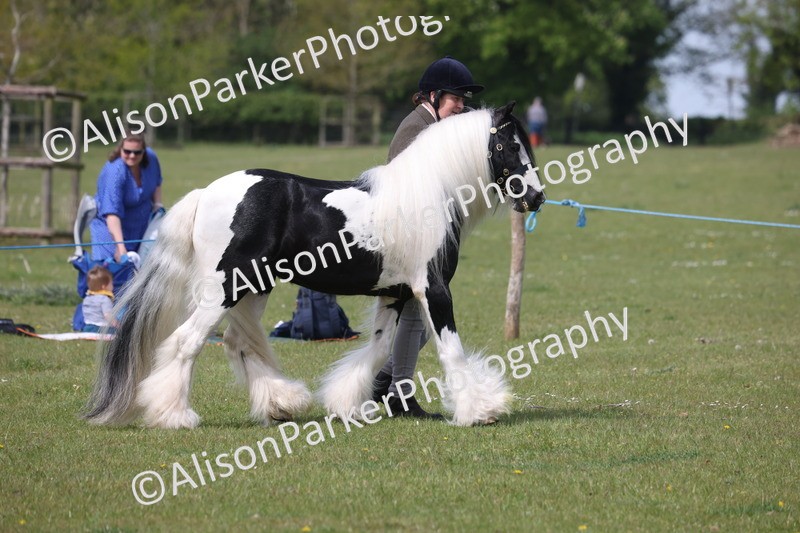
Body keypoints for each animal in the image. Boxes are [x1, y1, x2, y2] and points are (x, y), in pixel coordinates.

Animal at [82, 102, 546, 429]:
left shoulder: (395, 294)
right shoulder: (432, 289)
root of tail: (206, 193)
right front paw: (480, 409)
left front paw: (347, 403)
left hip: (254, 287)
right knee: (187, 342)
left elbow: (379, 349)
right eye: (509, 145)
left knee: (237, 342)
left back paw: (281, 404)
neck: (429, 194)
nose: (536, 197)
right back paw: (176, 417)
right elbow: (450, 347)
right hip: (225, 289)